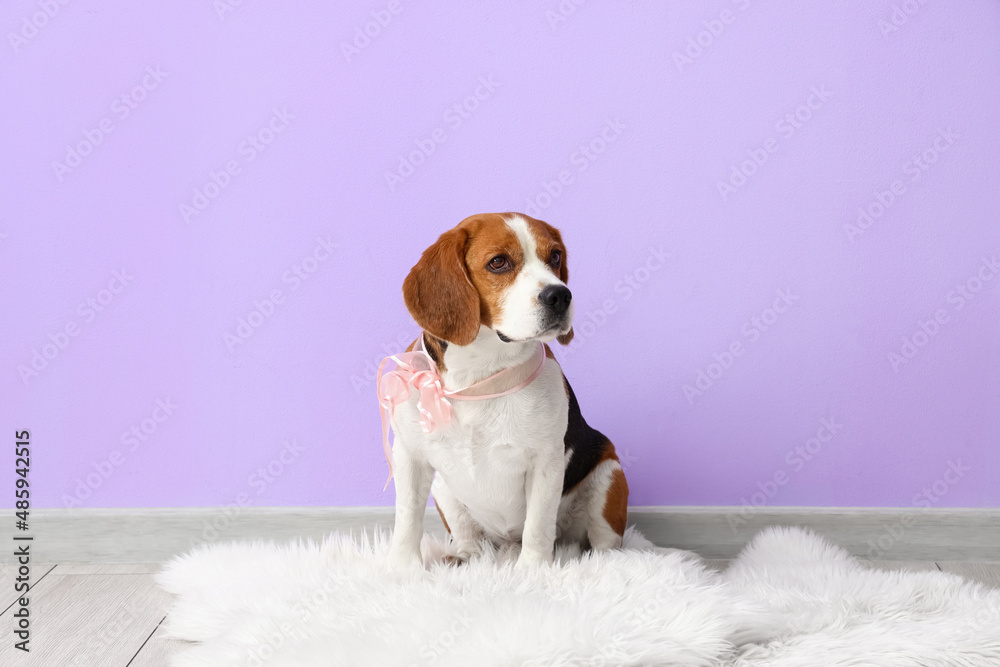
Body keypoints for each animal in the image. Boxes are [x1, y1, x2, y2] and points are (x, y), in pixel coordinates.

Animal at [386, 213, 628, 568]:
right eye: (498, 262)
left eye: (555, 256)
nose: (560, 295)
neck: (478, 377)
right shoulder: (409, 457)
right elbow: (407, 520)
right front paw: (402, 569)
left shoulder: (545, 462)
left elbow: (538, 527)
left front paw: (533, 571)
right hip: (445, 492)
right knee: (468, 537)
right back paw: (465, 557)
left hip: (609, 475)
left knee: (603, 541)